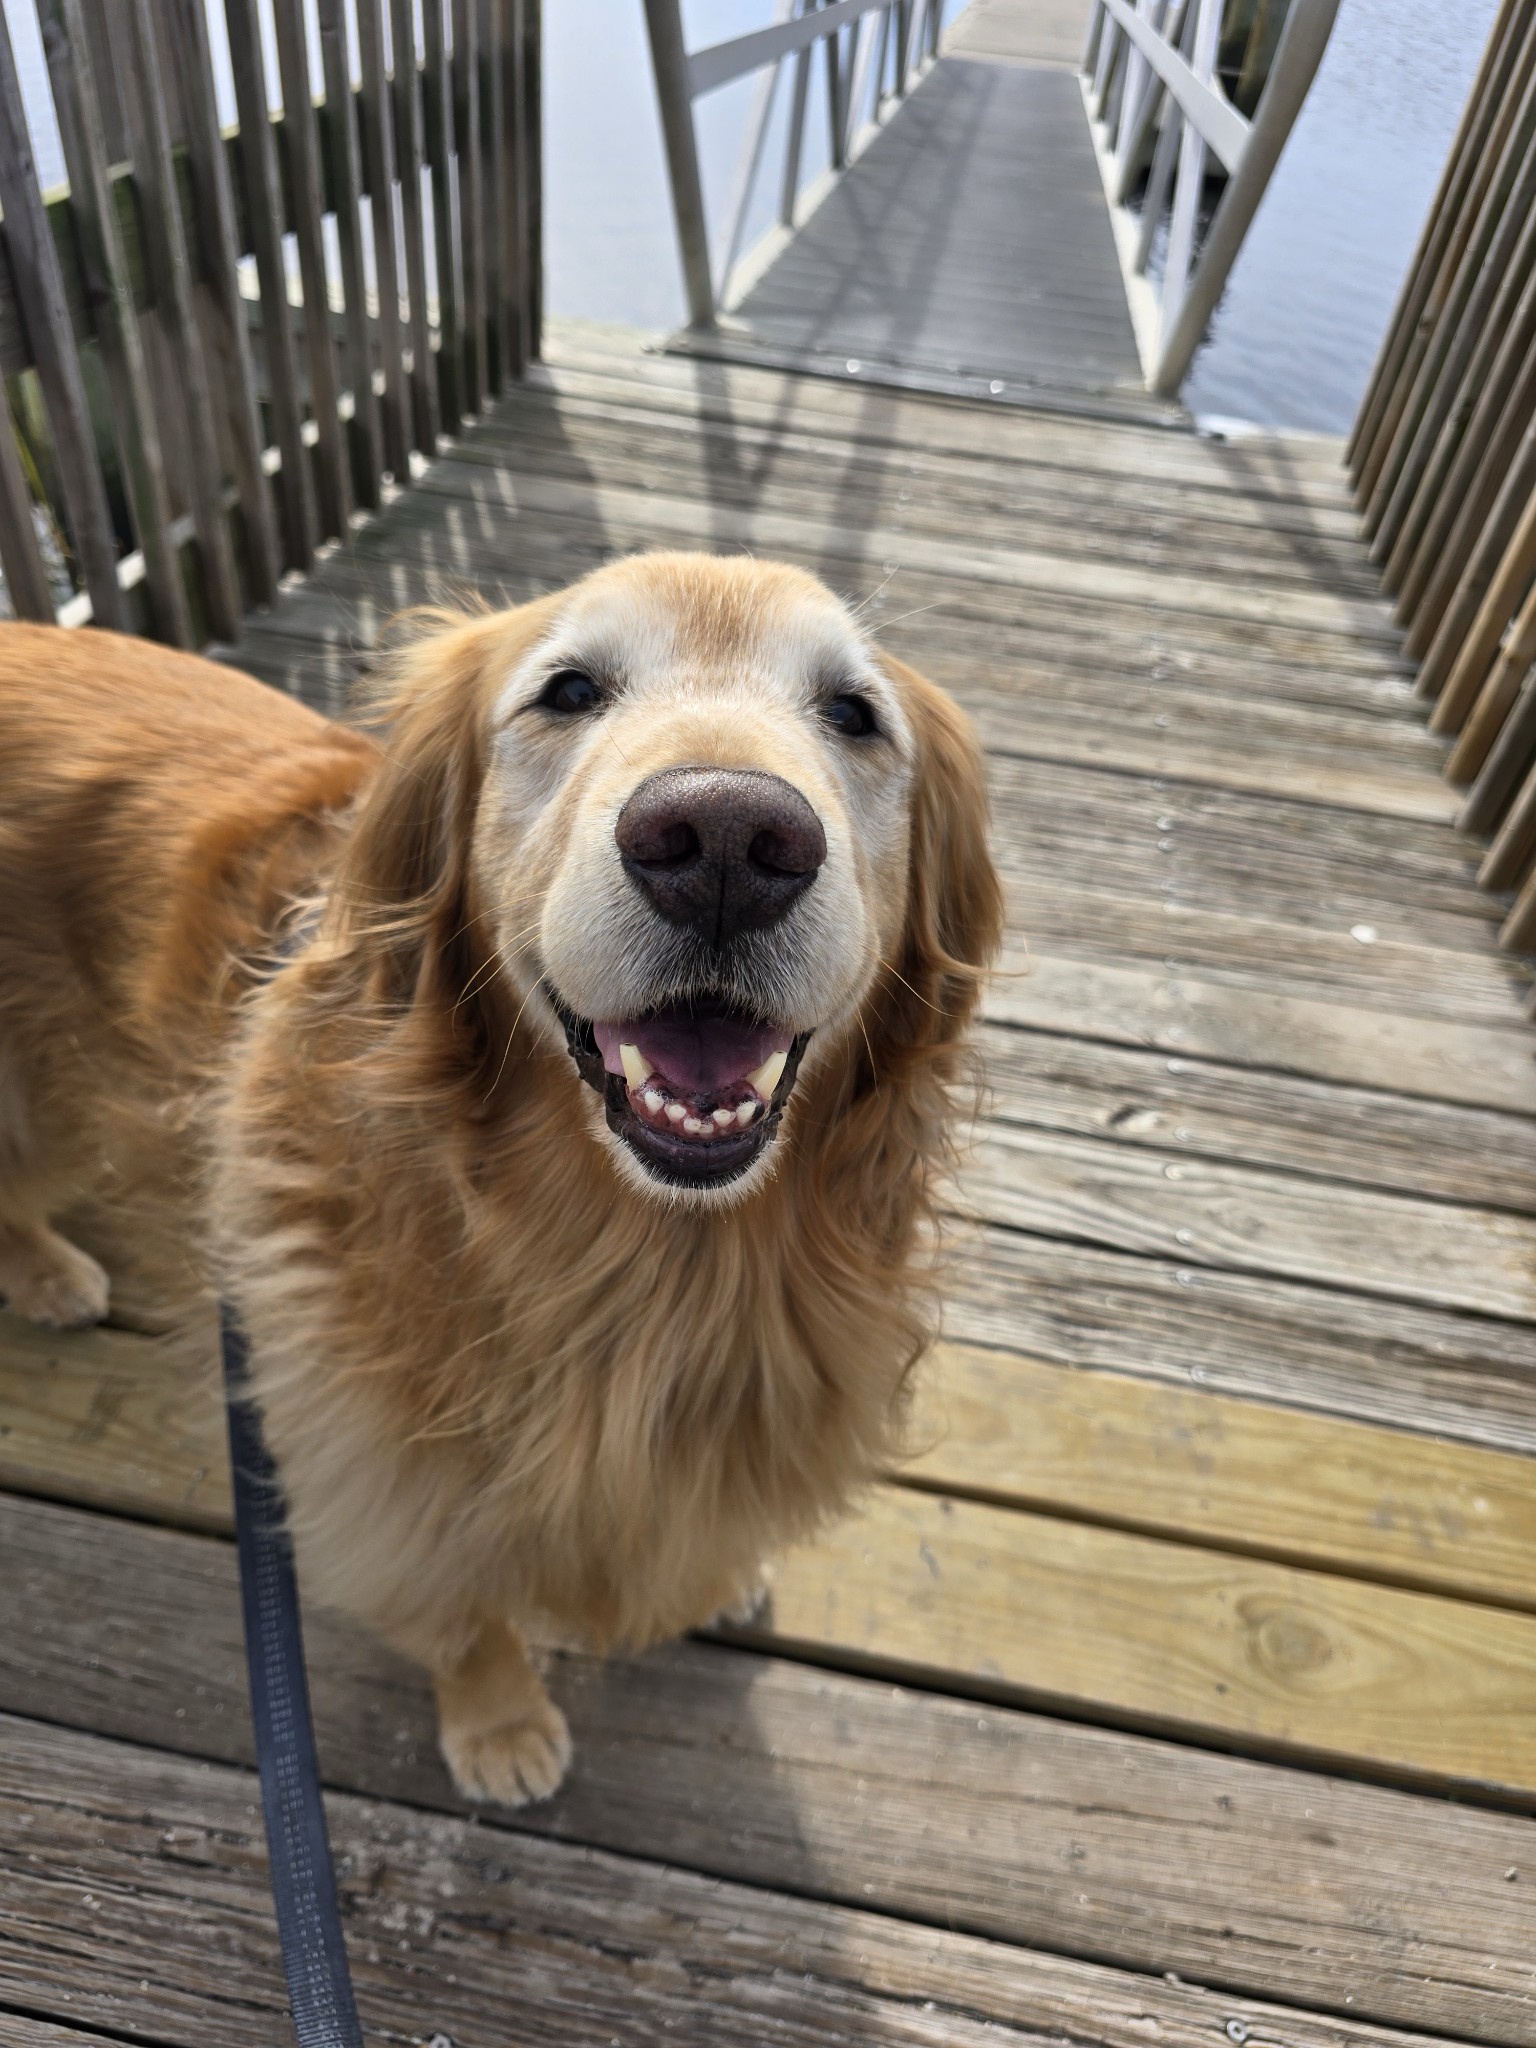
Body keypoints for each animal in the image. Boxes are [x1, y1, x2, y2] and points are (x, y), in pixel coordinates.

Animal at [0, 552, 1003, 1802]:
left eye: (854, 713)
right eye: (567, 691)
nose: (727, 839)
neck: (641, 1267)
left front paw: (716, 1573)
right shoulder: (371, 1451)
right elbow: (460, 1606)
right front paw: (499, 1723)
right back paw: (45, 1271)